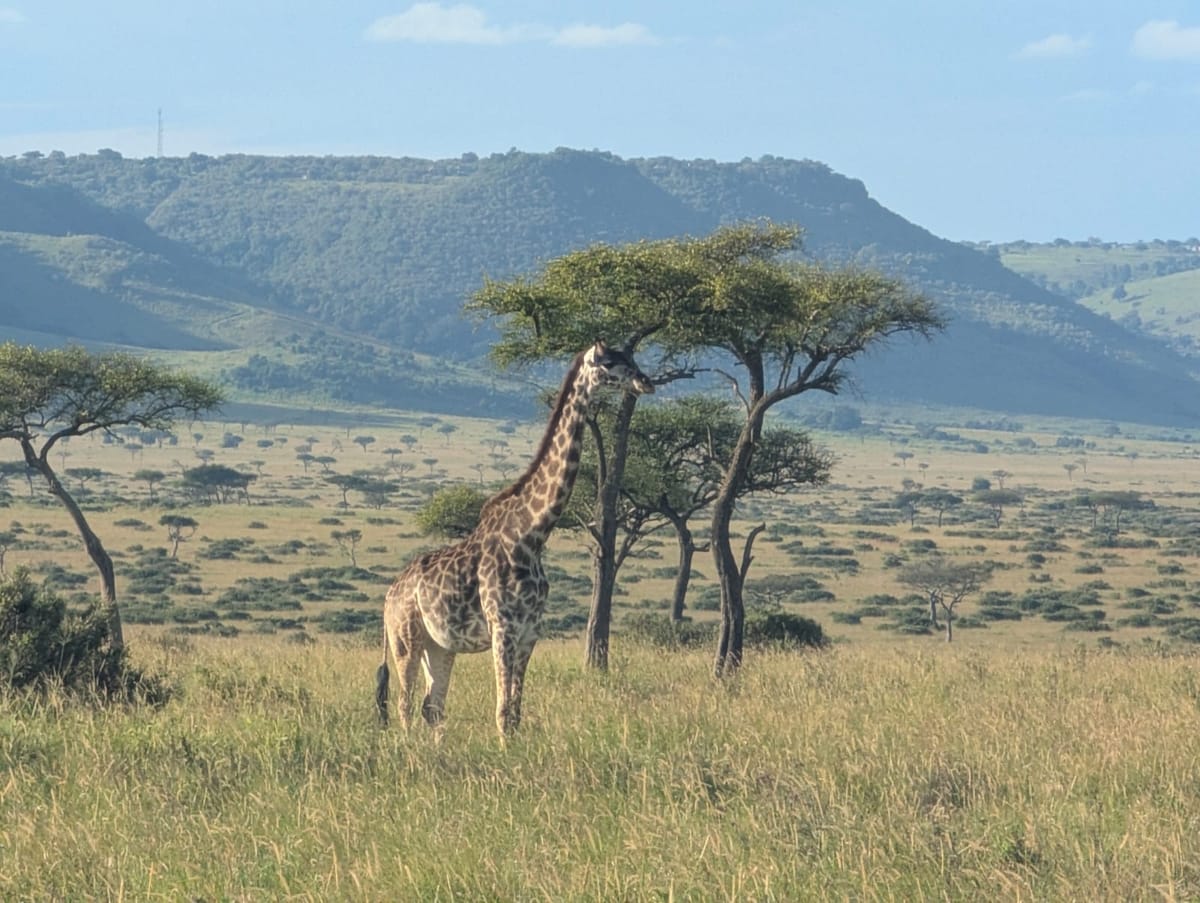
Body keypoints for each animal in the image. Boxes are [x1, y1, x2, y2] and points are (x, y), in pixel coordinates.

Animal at [376, 341, 654, 737]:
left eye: (632, 359)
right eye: (610, 364)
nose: (646, 382)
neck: (532, 533)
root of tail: (388, 595)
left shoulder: (529, 631)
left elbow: (516, 712)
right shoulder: (502, 628)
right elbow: (503, 711)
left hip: (439, 645)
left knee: (433, 706)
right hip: (405, 639)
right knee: (404, 704)